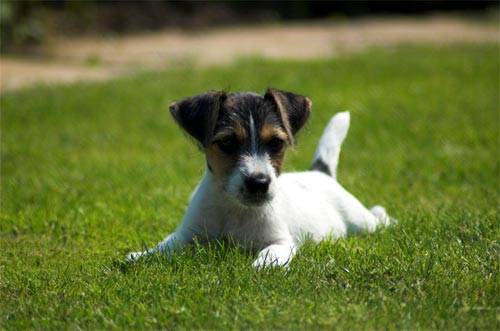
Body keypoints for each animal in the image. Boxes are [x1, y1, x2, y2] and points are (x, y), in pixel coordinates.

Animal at [127, 89, 392, 268]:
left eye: (276, 143)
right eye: (227, 142)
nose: (259, 183)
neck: (236, 210)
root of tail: (321, 173)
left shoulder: (282, 241)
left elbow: (270, 253)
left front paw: (262, 266)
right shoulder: (186, 235)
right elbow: (165, 245)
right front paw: (141, 256)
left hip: (361, 221)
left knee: (378, 219)